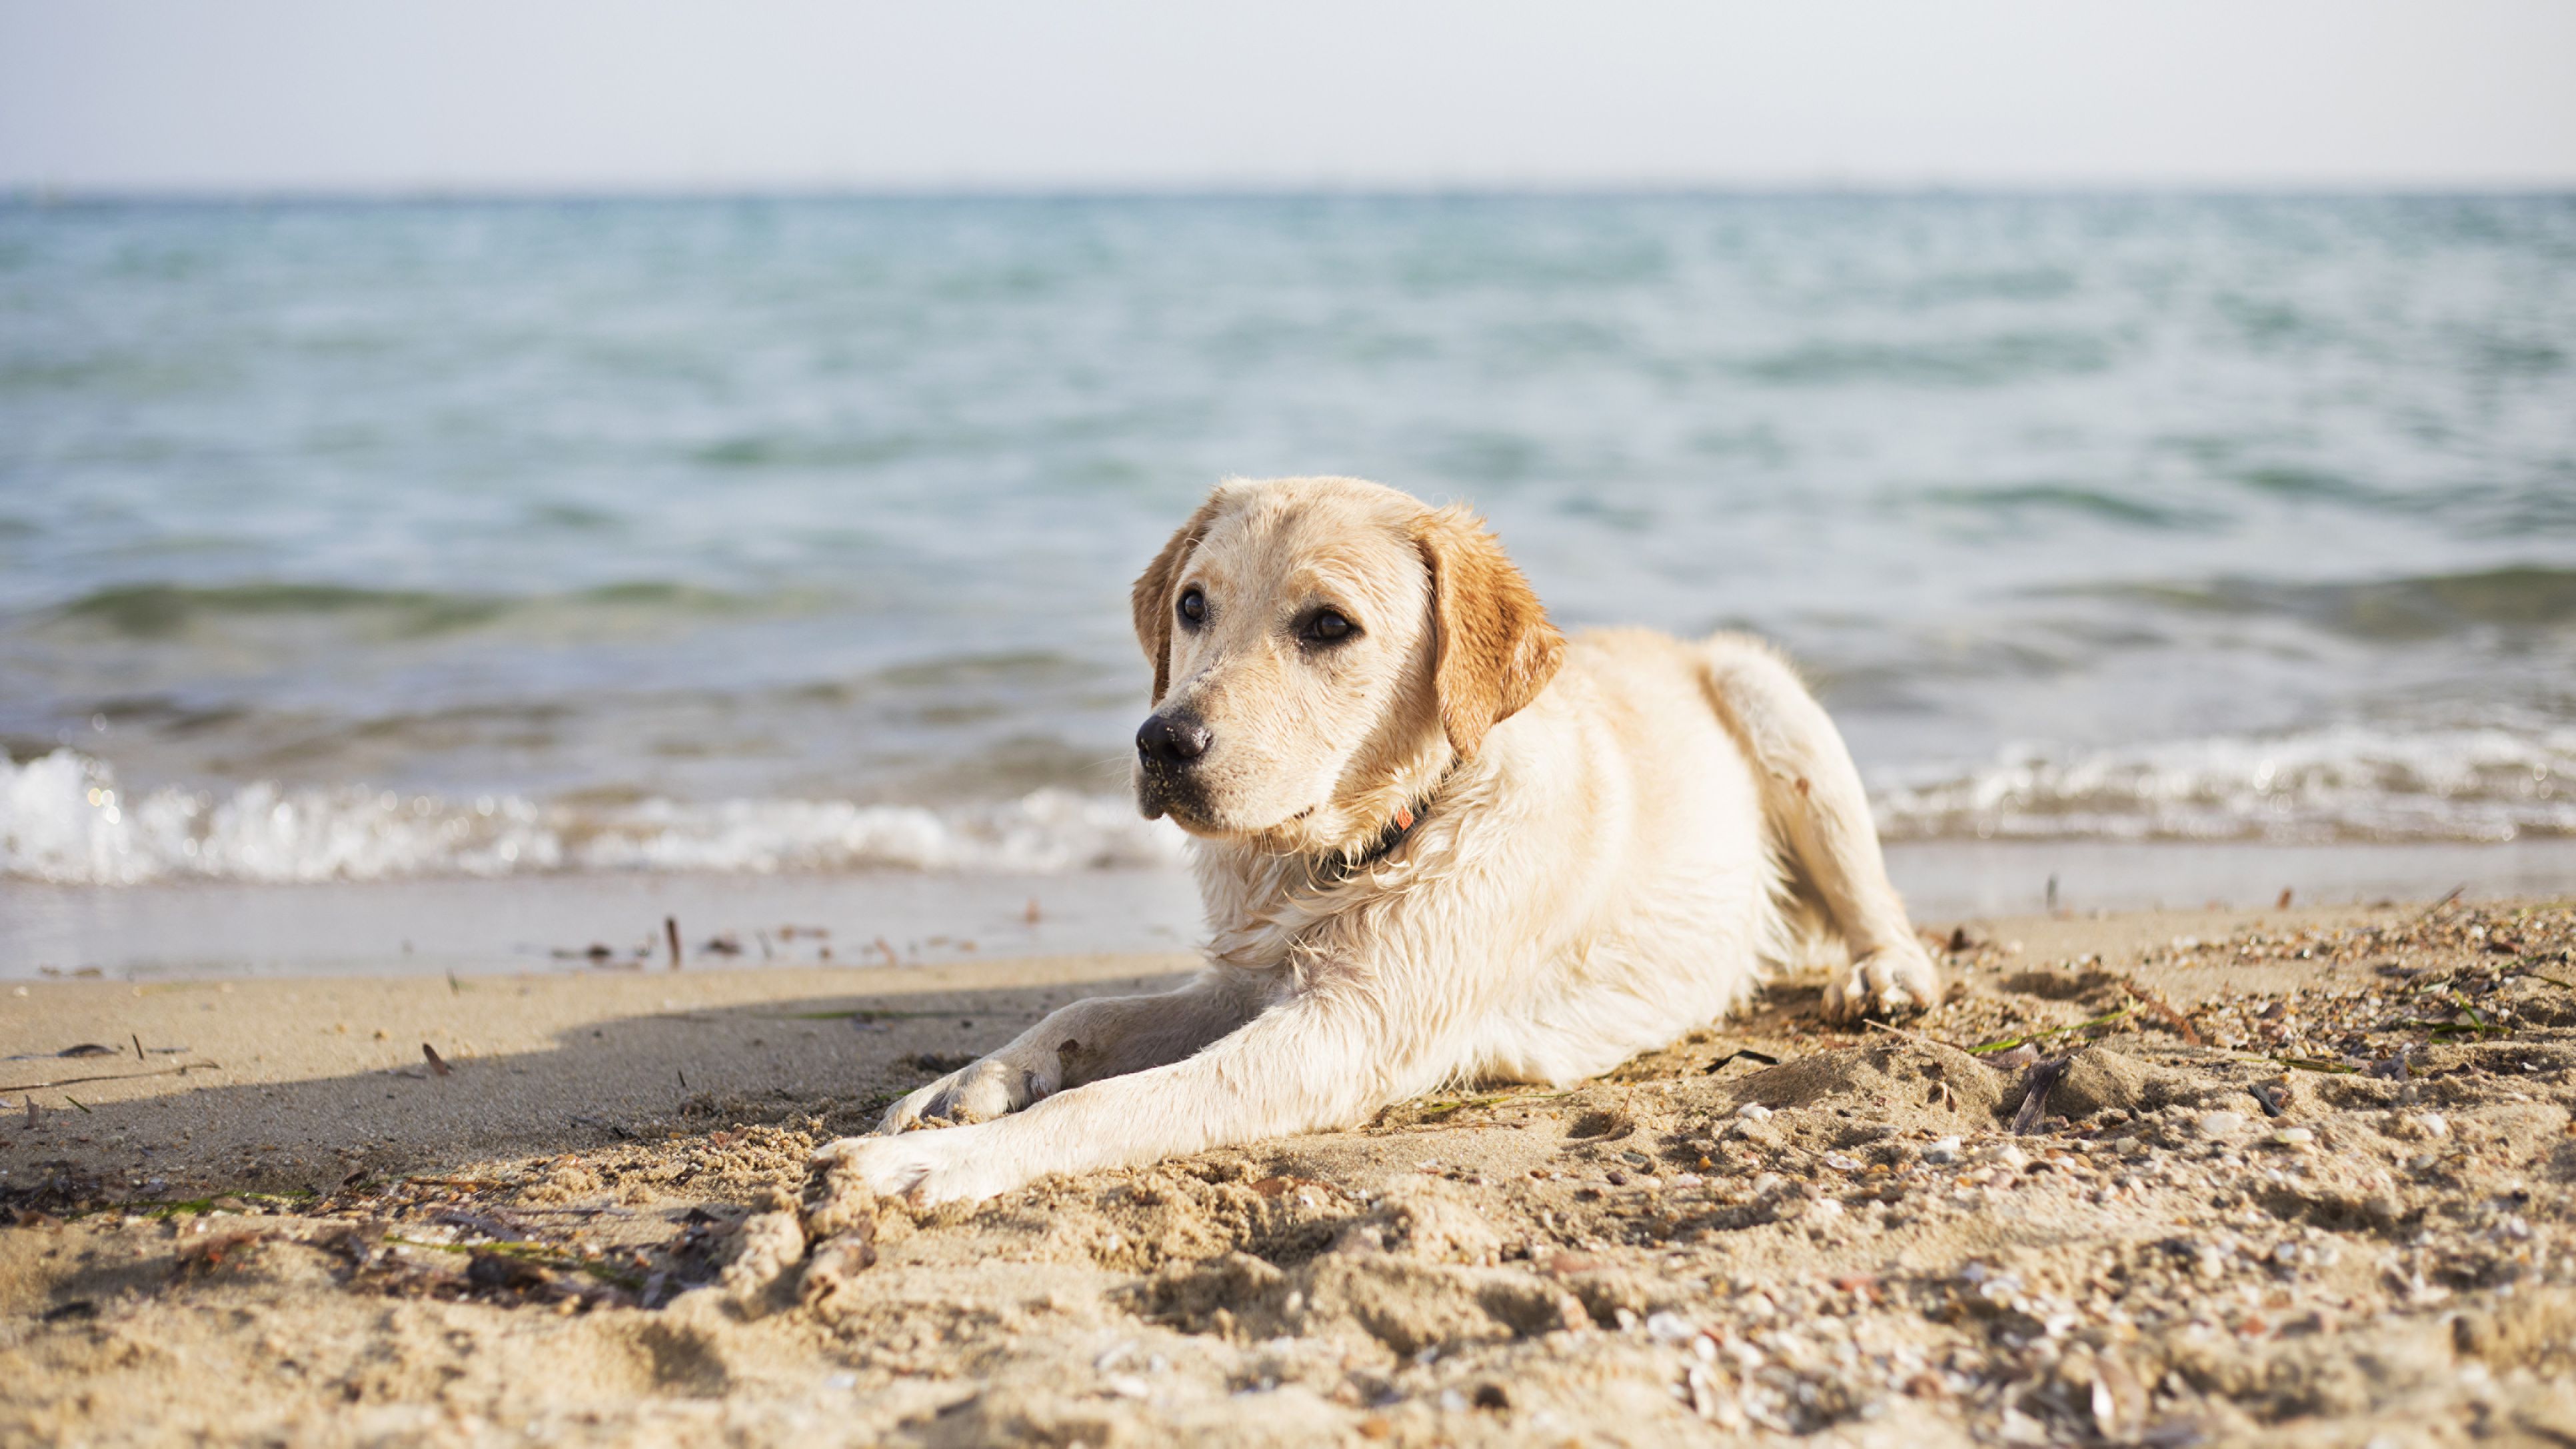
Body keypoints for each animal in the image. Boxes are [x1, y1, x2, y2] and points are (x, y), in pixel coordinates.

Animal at [814, 474, 1937, 1196]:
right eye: (1192, 604)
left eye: (1328, 625)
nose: (1161, 740)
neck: (1355, 845)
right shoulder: (1249, 978)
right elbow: (1084, 1011)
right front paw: (964, 1086)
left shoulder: (1344, 1032)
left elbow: (1109, 1106)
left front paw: (931, 1167)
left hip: (1768, 698)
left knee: (1880, 903)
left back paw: (1882, 975)